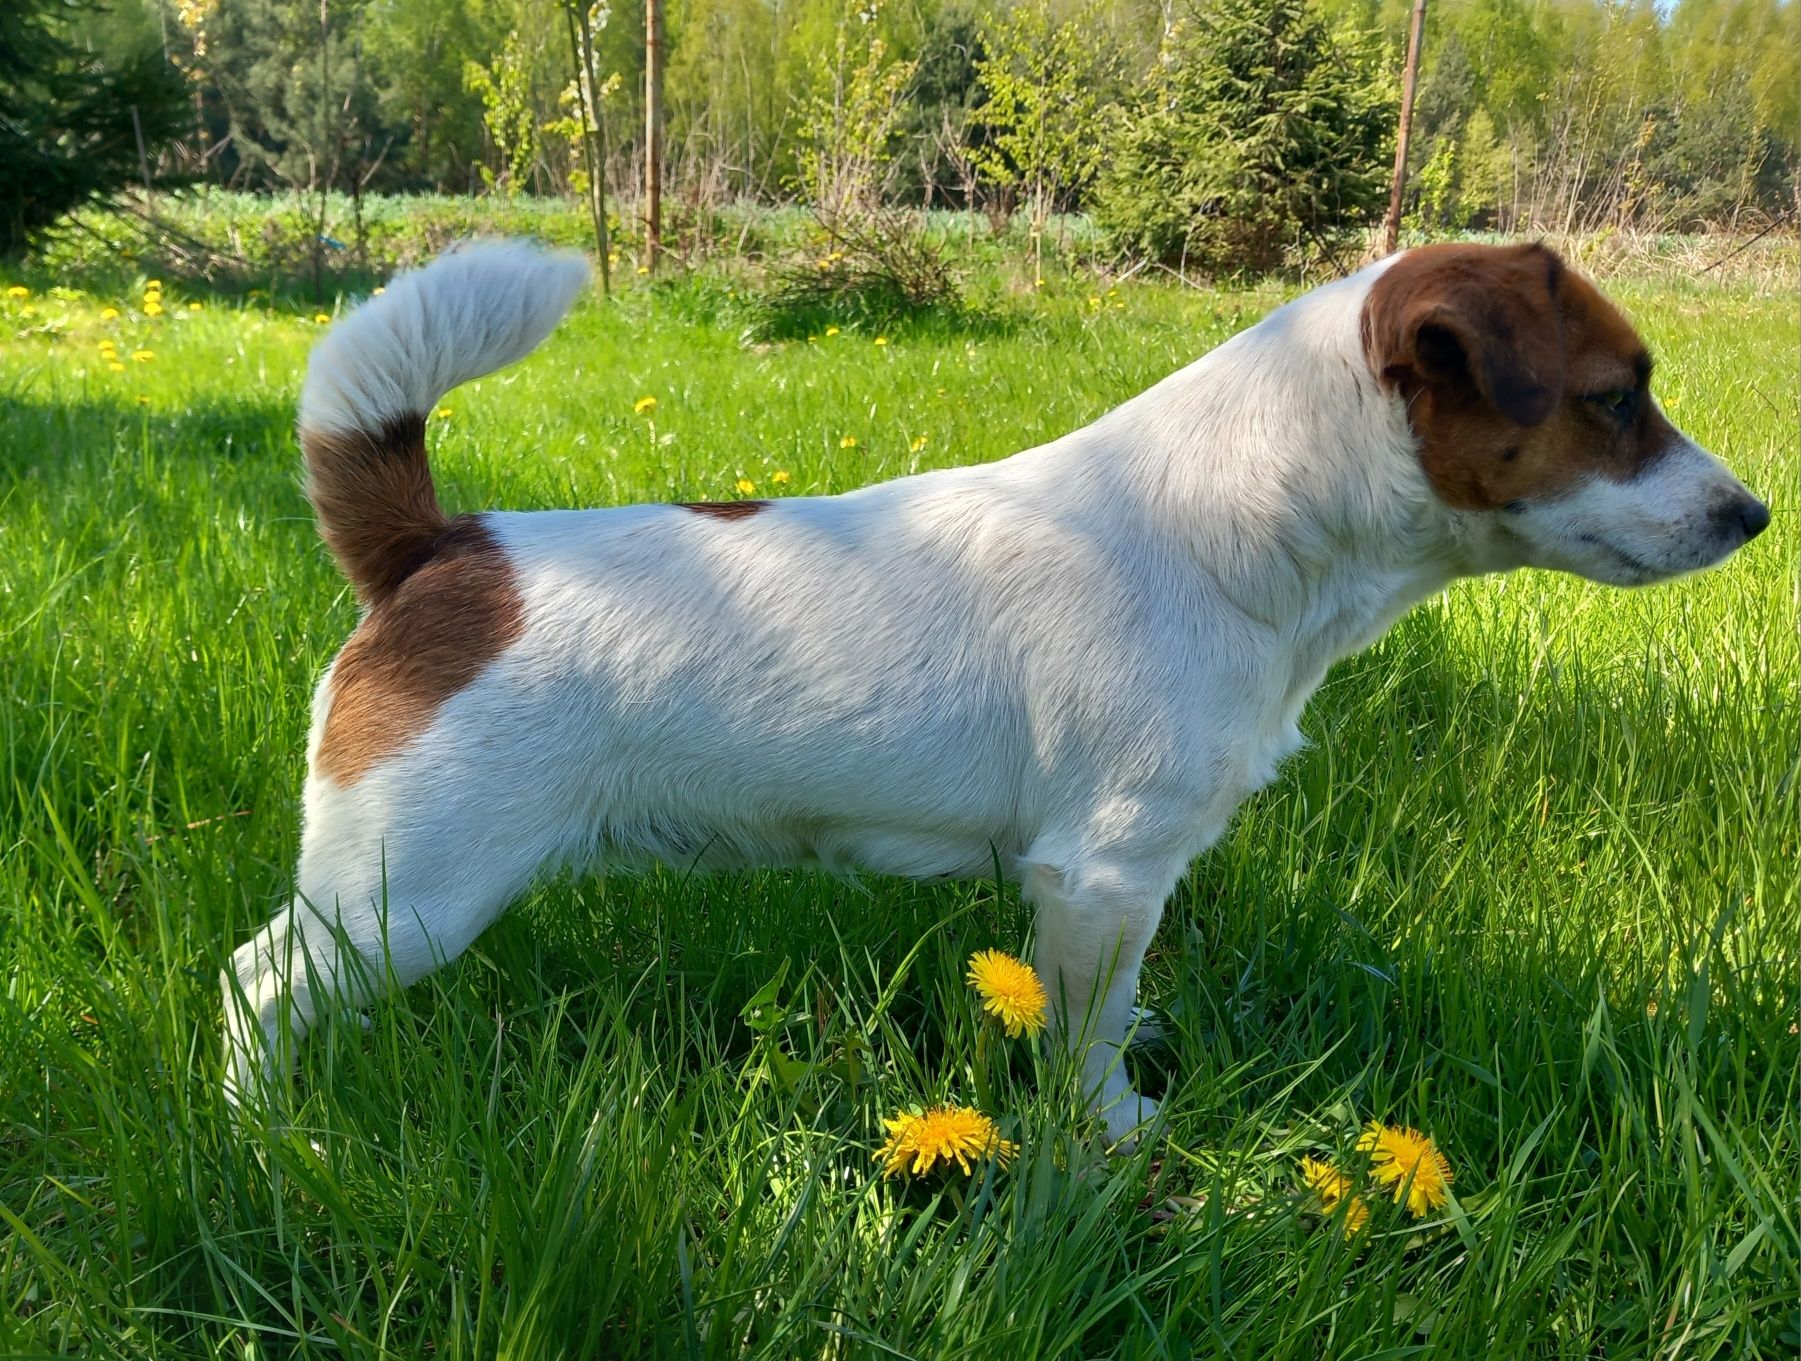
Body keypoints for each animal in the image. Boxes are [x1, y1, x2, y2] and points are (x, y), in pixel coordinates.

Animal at [217, 239, 1764, 1144]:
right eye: (1615, 397)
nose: (1752, 515)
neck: (1224, 530)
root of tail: (439, 550)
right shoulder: (1105, 870)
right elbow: (1088, 1040)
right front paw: (1108, 1139)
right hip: (406, 890)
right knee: (257, 985)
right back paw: (262, 1138)